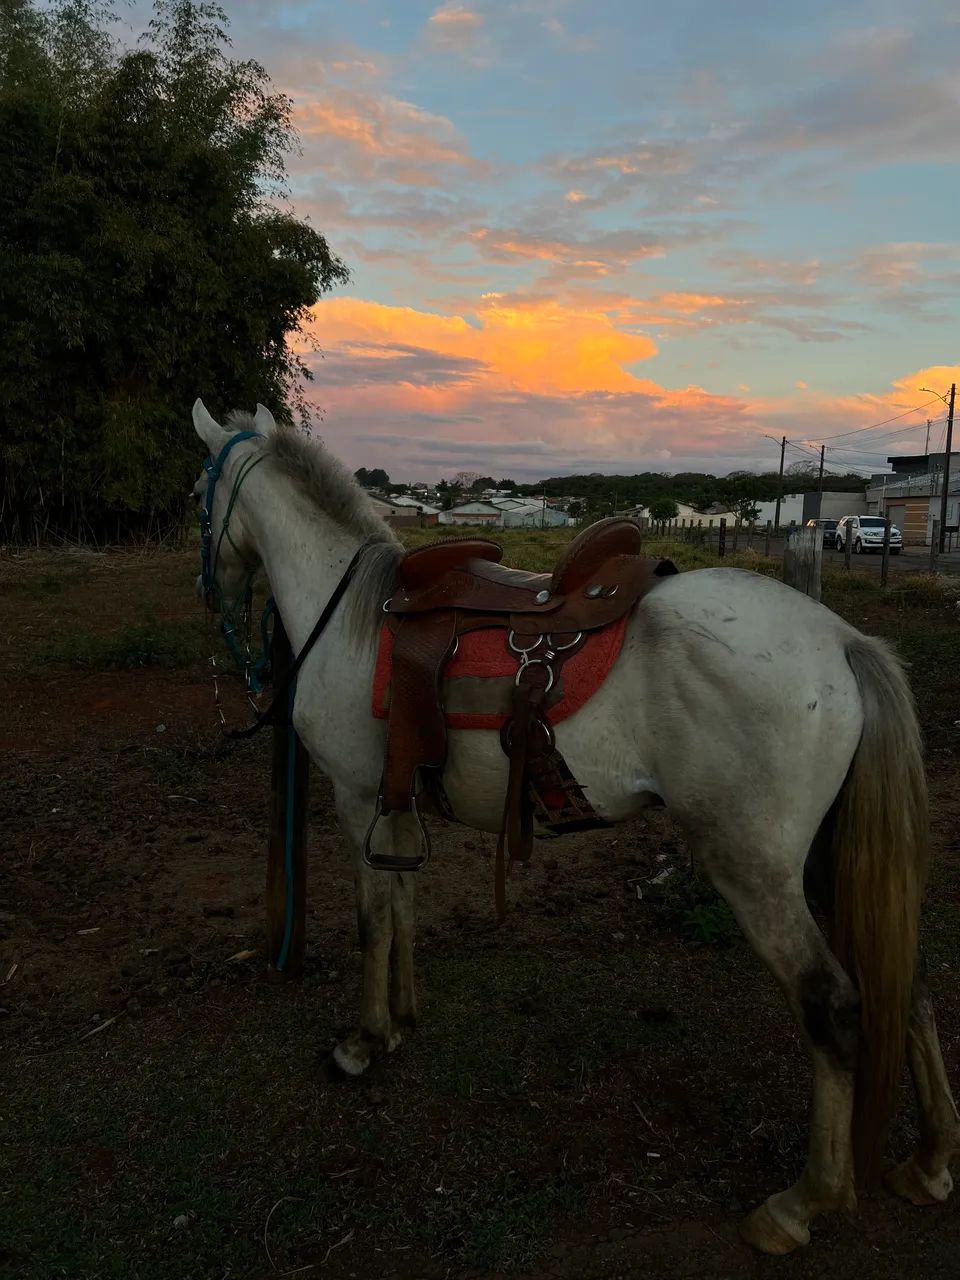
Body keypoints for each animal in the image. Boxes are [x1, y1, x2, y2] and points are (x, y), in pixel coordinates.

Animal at [190, 399, 958, 1255]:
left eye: (196, 494)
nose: (211, 592)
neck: (351, 613)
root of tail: (843, 643)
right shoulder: (394, 800)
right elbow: (403, 908)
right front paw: (402, 1018)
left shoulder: (359, 797)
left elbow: (371, 921)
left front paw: (361, 1042)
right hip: (826, 861)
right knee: (904, 982)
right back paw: (930, 1162)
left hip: (756, 872)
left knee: (832, 1005)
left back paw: (801, 1204)